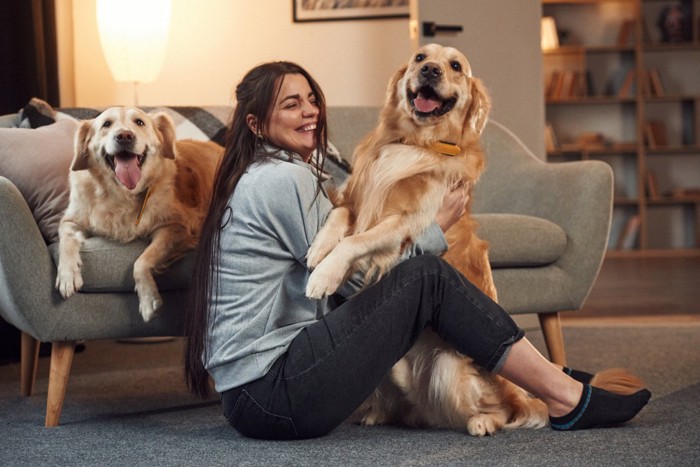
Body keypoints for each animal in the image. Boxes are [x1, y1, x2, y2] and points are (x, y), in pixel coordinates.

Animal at [56, 108, 223, 324]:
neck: (121, 194)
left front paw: (148, 299)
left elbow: (141, 262)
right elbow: (66, 242)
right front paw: (67, 274)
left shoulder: (177, 227)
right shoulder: (71, 220)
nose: (124, 136)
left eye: (139, 122)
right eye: (106, 124)